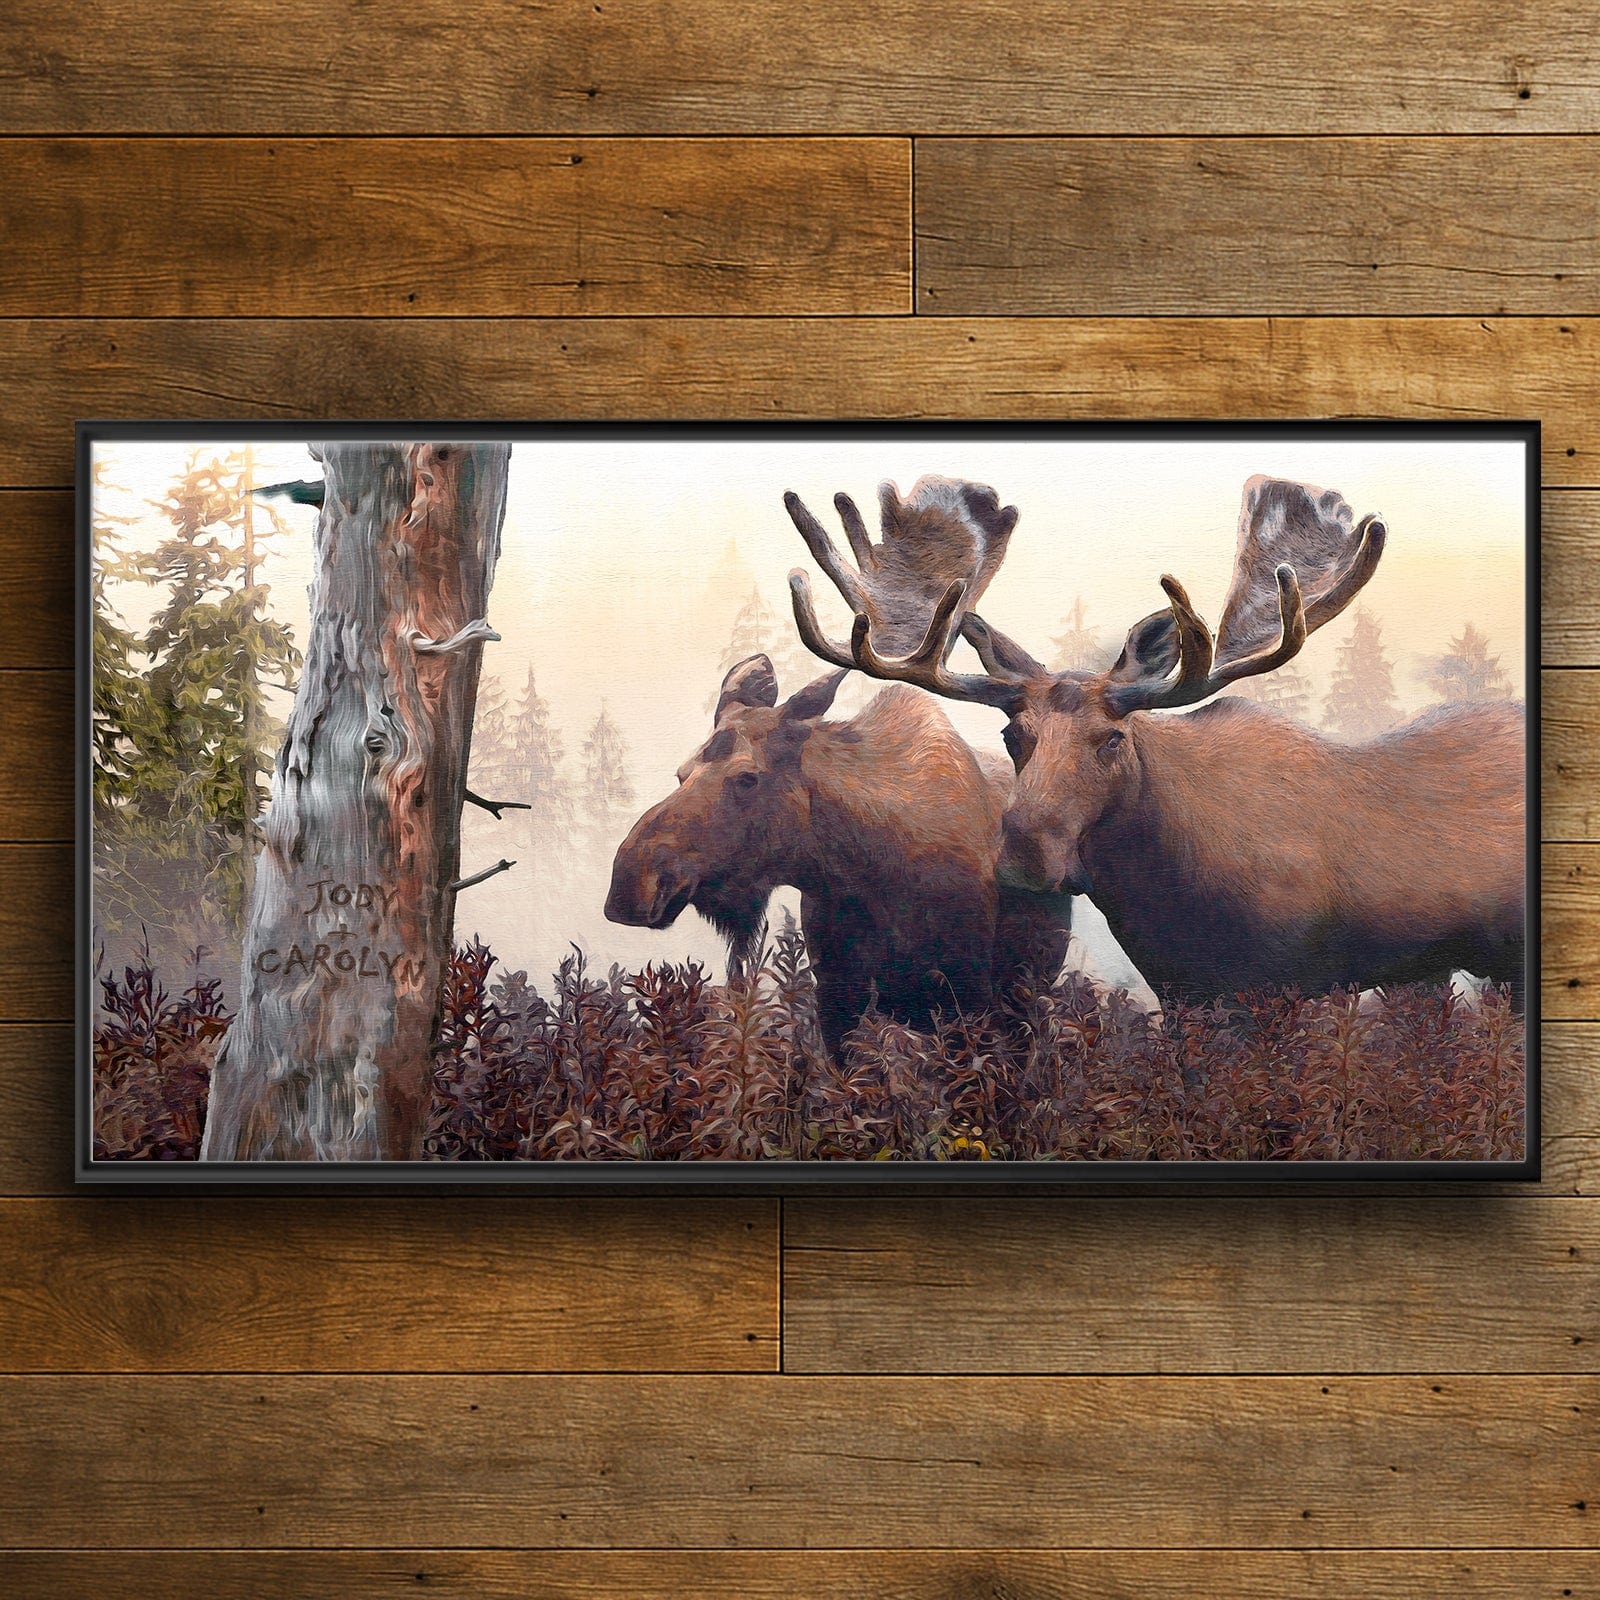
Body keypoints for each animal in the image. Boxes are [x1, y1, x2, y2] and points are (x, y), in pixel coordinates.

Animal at [605, 478, 1071, 1056]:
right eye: (680, 772)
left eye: (746, 777)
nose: (629, 881)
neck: (861, 869)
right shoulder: (836, 991)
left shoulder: (971, 993)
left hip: (1026, 991)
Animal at [786, 473, 1527, 1009]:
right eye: (1012, 733)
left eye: (1112, 739)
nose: (1023, 852)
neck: (1167, 887)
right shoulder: (1180, 989)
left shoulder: (1281, 982)